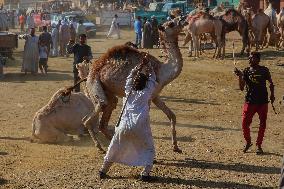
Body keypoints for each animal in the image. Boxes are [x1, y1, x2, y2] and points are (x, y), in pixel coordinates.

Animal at [82, 17, 189, 153]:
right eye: (171, 23)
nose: (183, 19)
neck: (161, 70)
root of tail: (91, 70)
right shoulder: (146, 96)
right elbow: (144, 121)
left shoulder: (155, 95)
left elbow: (172, 116)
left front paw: (175, 146)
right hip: (93, 83)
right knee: (92, 115)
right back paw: (100, 146)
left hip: (108, 92)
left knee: (105, 117)